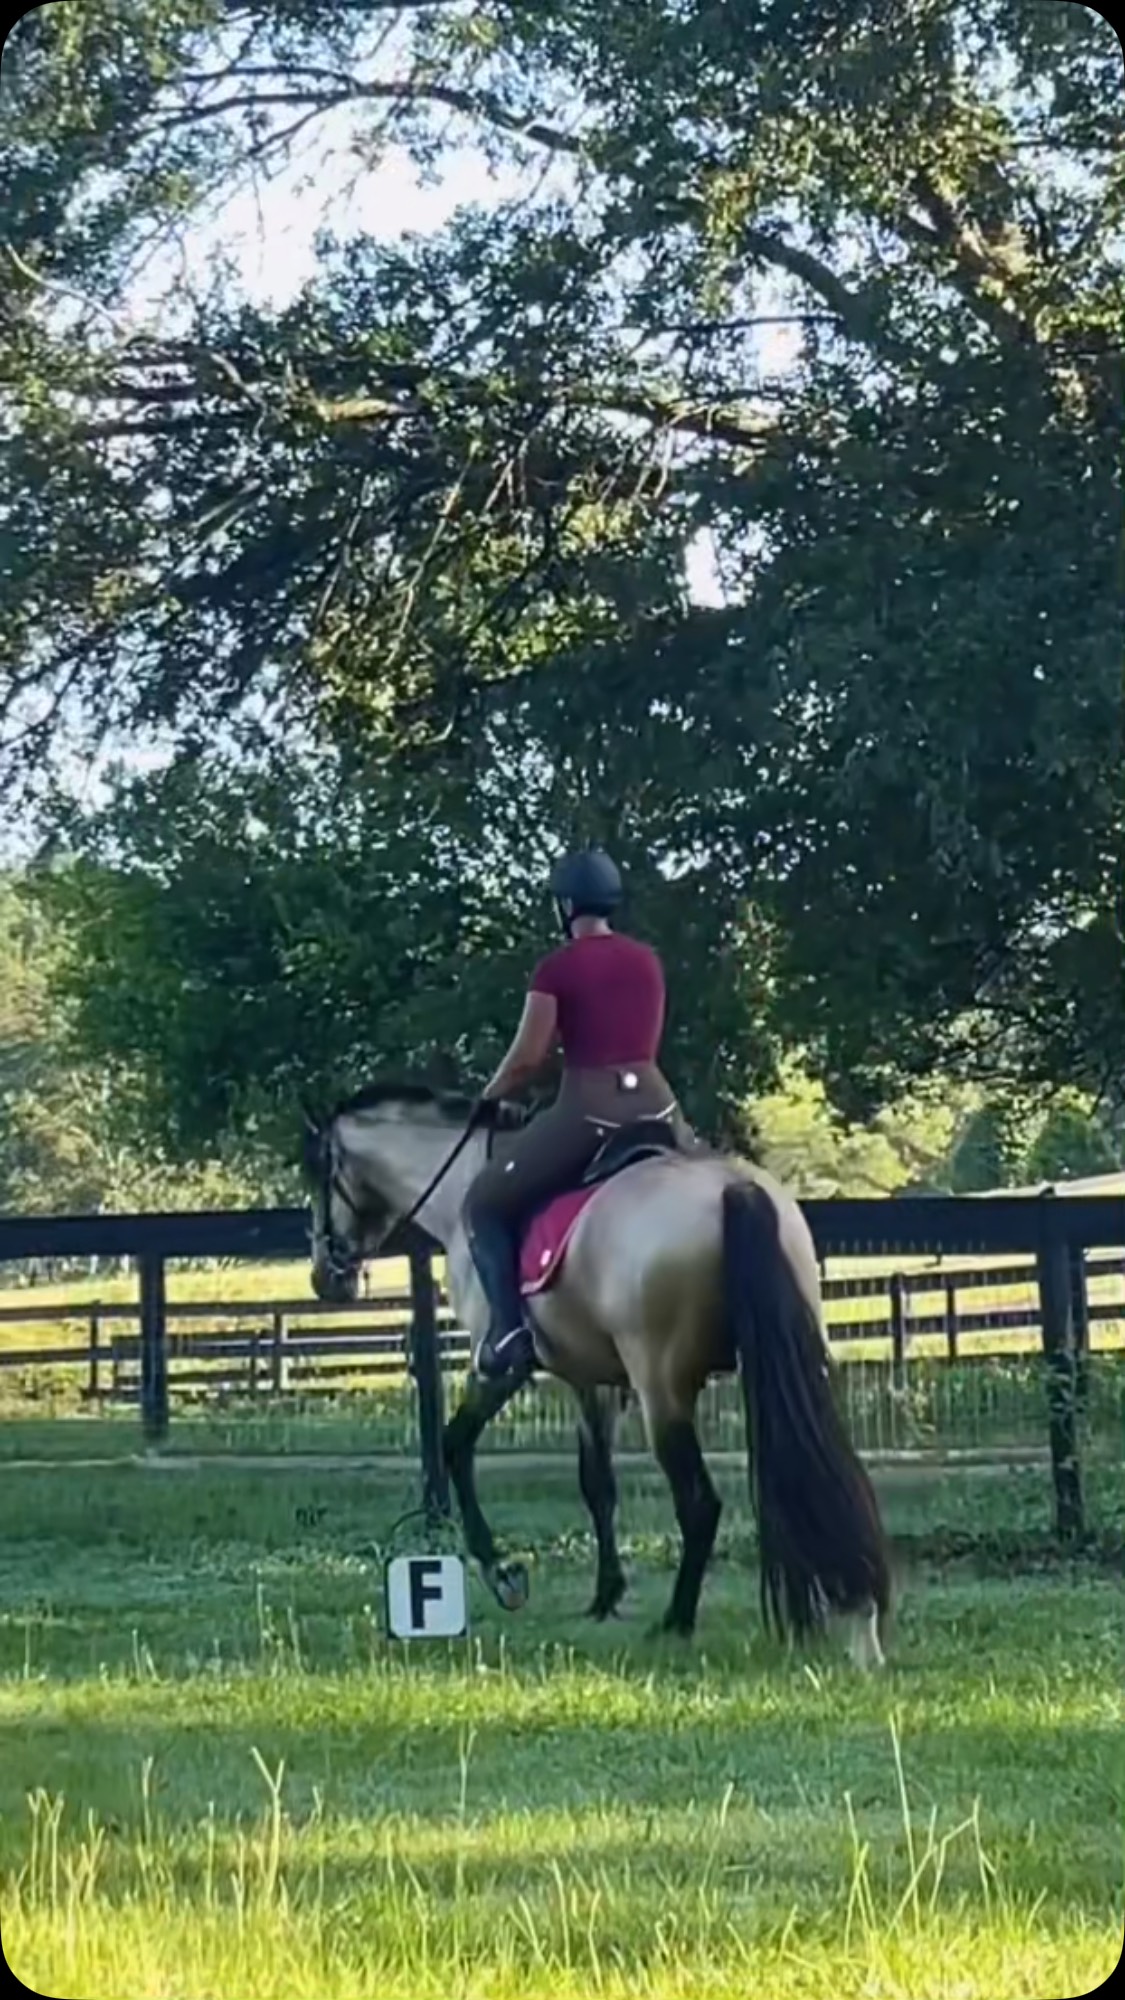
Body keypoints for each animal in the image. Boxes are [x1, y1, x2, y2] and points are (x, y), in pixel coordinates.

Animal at [303, 1081, 892, 1667]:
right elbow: (598, 1485)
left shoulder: (496, 1368)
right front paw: (606, 1593)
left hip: (663, 1390)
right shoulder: (592, 1381)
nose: (326, 1279)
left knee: (699, 1503)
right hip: (789, 1358)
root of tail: (733, 1189)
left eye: (323, 1177)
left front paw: (502, 1574)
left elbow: (455, 1444)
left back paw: (677, 1621)